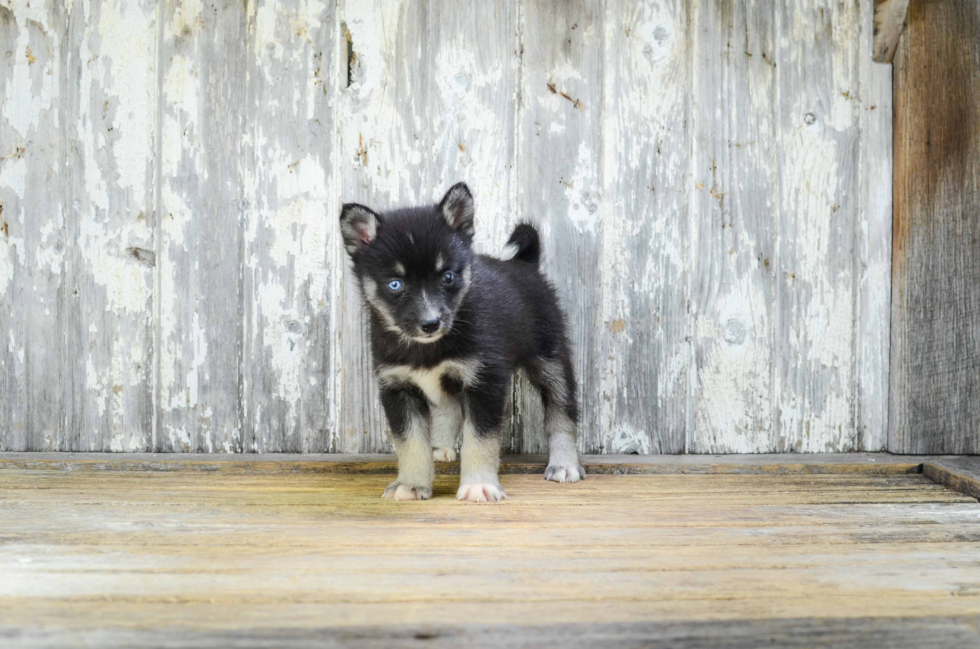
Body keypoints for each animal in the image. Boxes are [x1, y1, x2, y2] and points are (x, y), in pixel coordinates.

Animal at [338, 182, 580, 502]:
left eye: (448, 277)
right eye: (395, 284)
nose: (430, 324)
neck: (427, 348)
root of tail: (523, 264)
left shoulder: (485, 382)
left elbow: (479, 439)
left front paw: (478, 484)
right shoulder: (398, 386)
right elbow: (410, 441)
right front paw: (411, 484)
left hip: (550, 359)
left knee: (562, 409)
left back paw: (564, 463)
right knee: (448, 408)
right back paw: (441, 448)